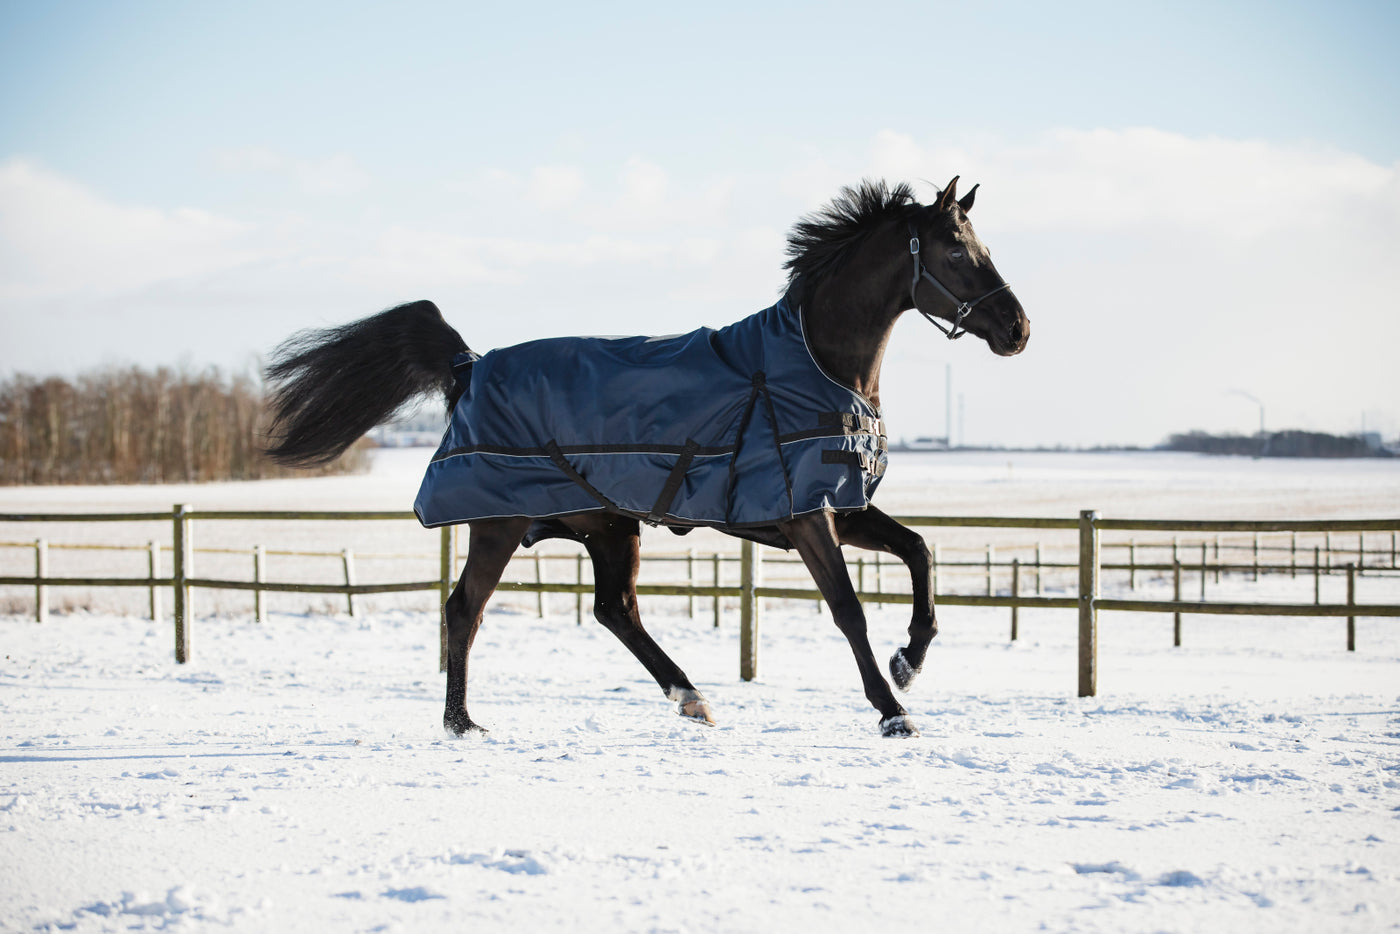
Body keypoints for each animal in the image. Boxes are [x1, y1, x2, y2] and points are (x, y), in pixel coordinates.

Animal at [263, 179, 1030, 739]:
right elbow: (847, 608)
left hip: (607, 526)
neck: (816, 365)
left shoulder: (841, 507)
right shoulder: (805, 516)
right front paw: (893, 711)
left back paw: (691, 697)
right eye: (956, 252)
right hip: (500, 523)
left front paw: (909, 664)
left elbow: (921, 551)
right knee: (465, 610)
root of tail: (469, 365)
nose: (1018, 328)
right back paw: (462, 723)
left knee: (615, 609)